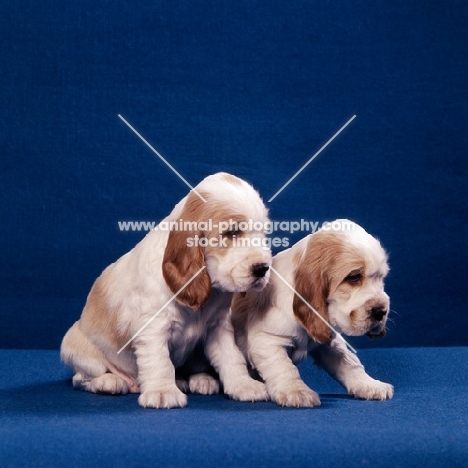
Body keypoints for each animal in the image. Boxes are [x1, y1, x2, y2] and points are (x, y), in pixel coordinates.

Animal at [63, 173, 274, 410]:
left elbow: (231, 357)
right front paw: (163, 392)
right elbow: (160, 362)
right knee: (81, 378)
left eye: (263, 233)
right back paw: (109, 382)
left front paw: (244, 386)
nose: (263, 268)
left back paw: (198, 380)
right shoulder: (153, 328)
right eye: (233, 232)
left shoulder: (219, 326)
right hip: (77, 348)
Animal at [232, 221, 394, 408]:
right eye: (354, 277)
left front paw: (370, 385)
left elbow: (349, 361)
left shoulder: (330, 340)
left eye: (381, 278)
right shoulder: (267, 339)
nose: (381, 311)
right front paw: (296, 391)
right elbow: (284, 367)